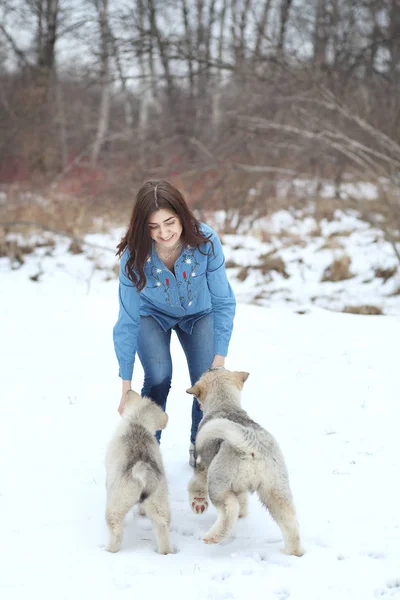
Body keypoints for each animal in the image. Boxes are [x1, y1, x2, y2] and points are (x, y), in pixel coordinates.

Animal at [104, 392, 173, 556]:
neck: (138, 422)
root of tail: (142, 467)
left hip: (117, 504)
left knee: (116, 531)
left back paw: (109, 550)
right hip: (159, 503)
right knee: (162, 527)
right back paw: (166, 552)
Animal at [187, 368, 304, 556]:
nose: (211, 367)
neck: (225, 404)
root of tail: (252, 444)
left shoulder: (202, 467)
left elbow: (195, 486)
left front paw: (197, 503)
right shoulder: (240, 487)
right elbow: (242, 500)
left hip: (217, 484)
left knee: (229, 509)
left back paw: (214, 536)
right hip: (277, 490)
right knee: (290, 523)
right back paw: (293, 552)